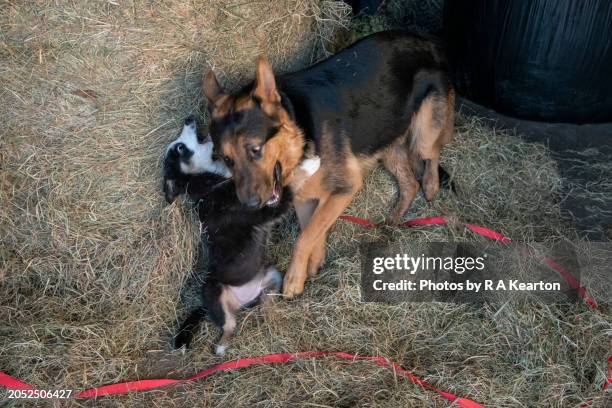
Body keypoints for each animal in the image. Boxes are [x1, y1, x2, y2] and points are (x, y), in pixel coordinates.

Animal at [165, 116, 322, 352]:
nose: (189, 119)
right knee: (228, 326)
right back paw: (222, 347)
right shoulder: (266, 208)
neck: (212, 184)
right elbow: (289, 182)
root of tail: (241, 300)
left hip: (272, 276)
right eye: (180, 148)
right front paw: (309, 163)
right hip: (214, 293)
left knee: (265, 301)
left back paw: (269, 314)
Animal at [202, 30, 454, 298]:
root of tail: (427, 42)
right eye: (227, 159)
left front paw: (293, 280)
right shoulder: (306, 199)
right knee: (409, 184)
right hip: (386, 139)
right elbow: (312, 229)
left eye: (255, 149)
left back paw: (431, 184)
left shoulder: (345, 188)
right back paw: (392, 222)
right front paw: (314, 263)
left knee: (431, 155)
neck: (300, 133)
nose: (250, 204)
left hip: (423, 134)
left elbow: (305, 236)